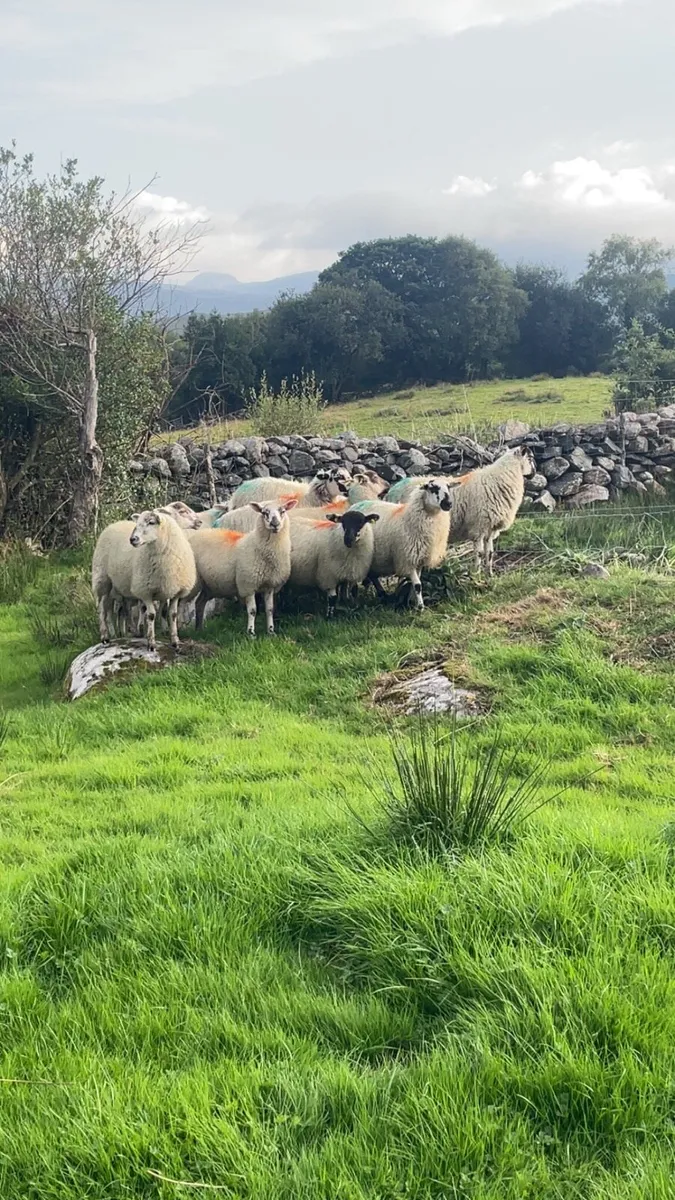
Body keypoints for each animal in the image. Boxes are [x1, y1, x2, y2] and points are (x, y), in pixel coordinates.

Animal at [92, 509, 197, 651]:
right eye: (138, 523)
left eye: (151, 522)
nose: (132, 539)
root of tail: (115, 524)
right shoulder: (145, 590)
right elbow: (151, 615)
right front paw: (151, 643)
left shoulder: (176, 591)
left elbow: (172, 614)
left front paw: (175, 641)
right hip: (102, 580)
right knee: (102, 609)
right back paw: (105, 637)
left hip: (119, 588)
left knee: (124, 611)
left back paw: (131, 631)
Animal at [187, 499, 297, 636]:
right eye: (264, 512)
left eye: (283, 511)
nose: (275, 524)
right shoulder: (248, 585)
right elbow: (252, 610)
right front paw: (251, 633)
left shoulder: (269, 585)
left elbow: (270, 609)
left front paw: (271, 631)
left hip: (209, 585)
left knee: (199, 603)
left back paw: (199, 629)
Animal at [351, 479, 452, 610]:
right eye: (432, 488)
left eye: (448, 487)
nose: (448, 504)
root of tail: (354, 506)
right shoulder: (407, 558)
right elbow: (418, 585)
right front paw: (420, 607)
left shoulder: (419, 559)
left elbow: (416, 583)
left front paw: (412, 602)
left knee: (372, 576)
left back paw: (382, 595)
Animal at [447, 445, 536, 578]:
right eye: (530, 458)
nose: (534, 474)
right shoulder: (478, 526)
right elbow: (479, 553)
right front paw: (476, 575)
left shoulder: (490, 528)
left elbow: (489, 553)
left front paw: (489, 574)